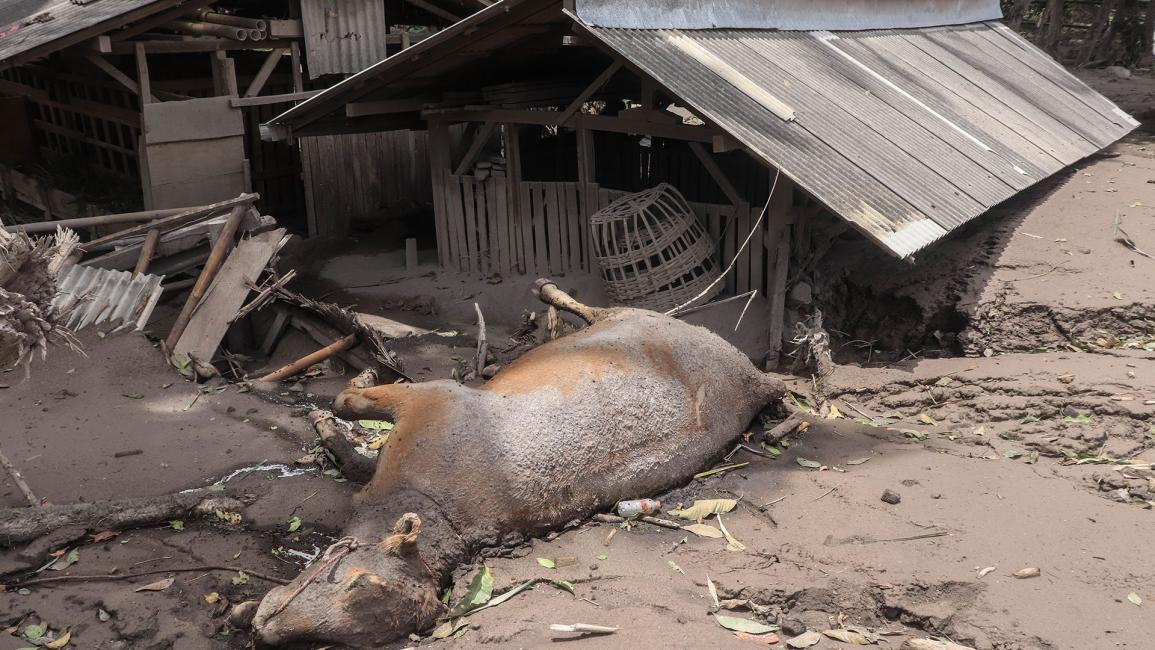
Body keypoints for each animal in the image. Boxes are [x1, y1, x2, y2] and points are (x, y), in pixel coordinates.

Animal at [243, 278, 785, 646]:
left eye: (359, 587)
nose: (263, 625)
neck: (433, 506)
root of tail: (753, 376)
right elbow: (350, 430)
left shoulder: (432, 399)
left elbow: (345, 401)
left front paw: (341, 405)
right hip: (635, 319)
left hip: (635, 318)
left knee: (589, 306)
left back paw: (547, 292)